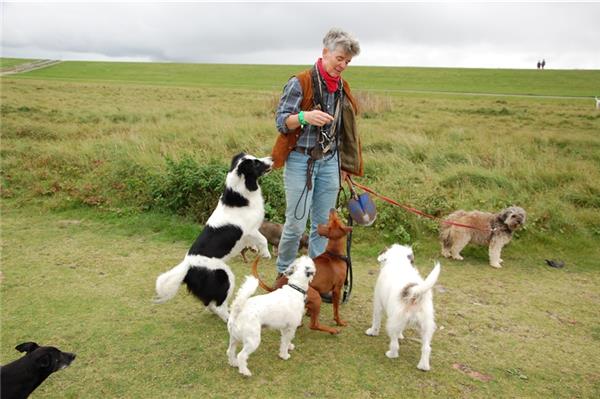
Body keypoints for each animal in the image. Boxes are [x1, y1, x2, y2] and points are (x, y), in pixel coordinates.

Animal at [364, 245, 438, 374]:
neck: (398, 261)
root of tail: (414, 293)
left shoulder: (378, 304)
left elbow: (376, 320)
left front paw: (373, 332)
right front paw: (401, 335)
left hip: (393, 323)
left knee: (395, 344)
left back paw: (391, 354)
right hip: (426, 326)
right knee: (426, 348)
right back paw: (423, 366)